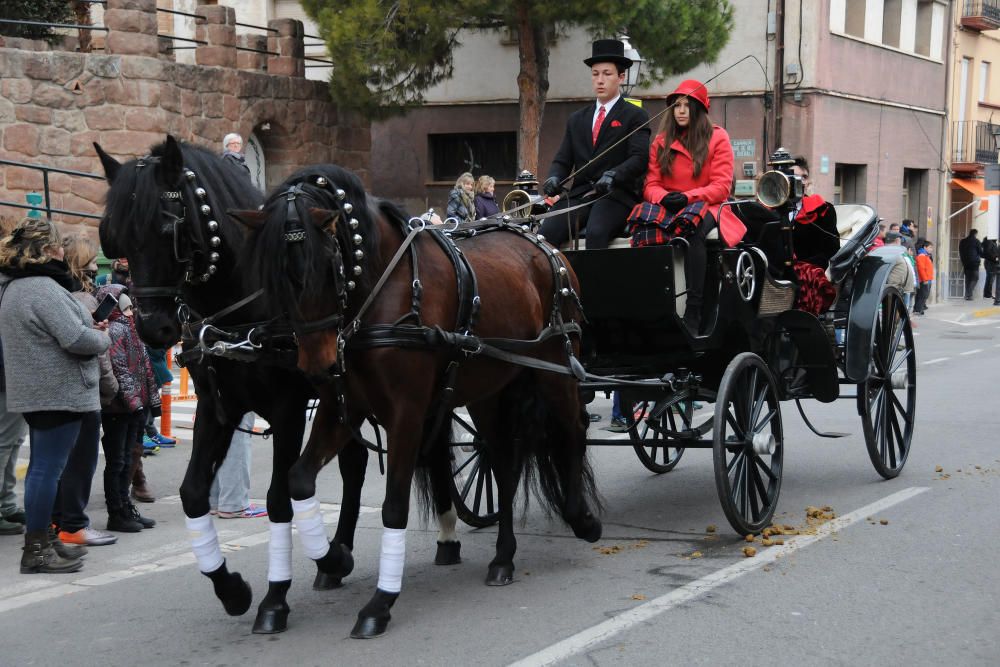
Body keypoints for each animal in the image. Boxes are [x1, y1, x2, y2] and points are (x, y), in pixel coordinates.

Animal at [93, 138, 368, 636]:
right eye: (116, 238)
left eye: (169, 230)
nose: (154, 329)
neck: (242, 308)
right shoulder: (217, 407)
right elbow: (192, 494)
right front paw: (232, 590)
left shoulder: (286, 408)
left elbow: (279, 498)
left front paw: (276, 598)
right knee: (354, 464)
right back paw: (334, 558)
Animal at [242, 164, 600, 640]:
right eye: (275, 278)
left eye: (327, 266)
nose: (317, 365)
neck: (380, 294)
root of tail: (545, 245)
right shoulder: (342, 409)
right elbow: (298, 479)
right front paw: (333, 558)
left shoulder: (407, 414)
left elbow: (395, 505)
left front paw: (379, 602)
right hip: (488, 389)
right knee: (504, 462)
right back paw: (503, 557)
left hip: (554, 367)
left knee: (572, 431)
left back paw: (582, 519)